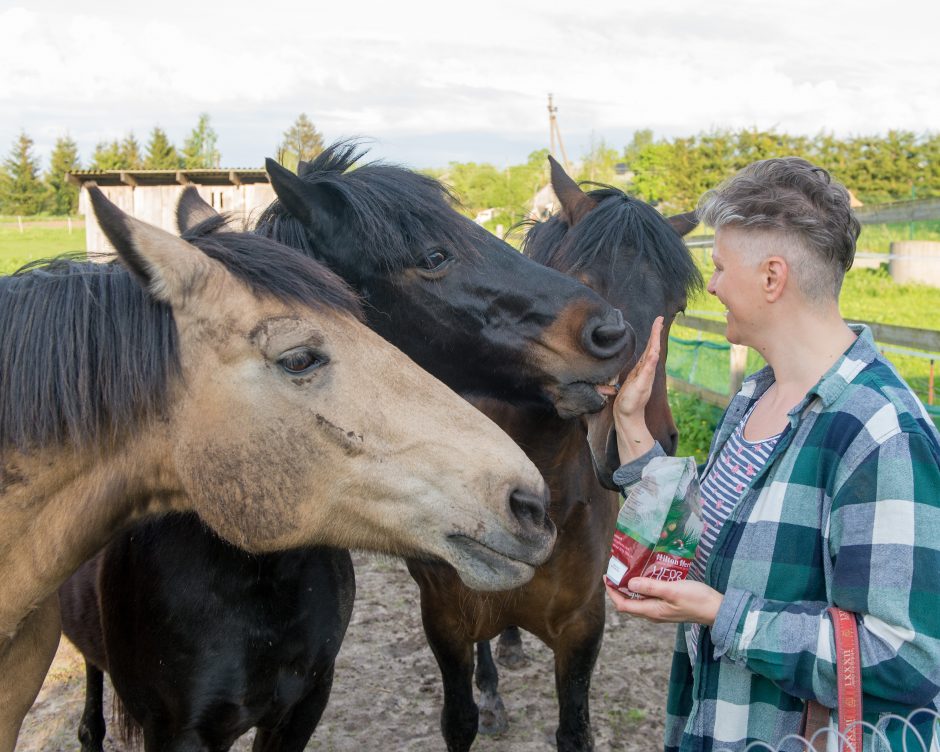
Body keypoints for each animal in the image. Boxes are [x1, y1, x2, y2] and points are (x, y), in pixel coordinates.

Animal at [408, 157, 700, 752]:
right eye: (585, 289)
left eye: (677, 305)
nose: (638, 441)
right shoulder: (445, 619)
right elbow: (459, 717)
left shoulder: (582, 624)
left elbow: (574, 729)